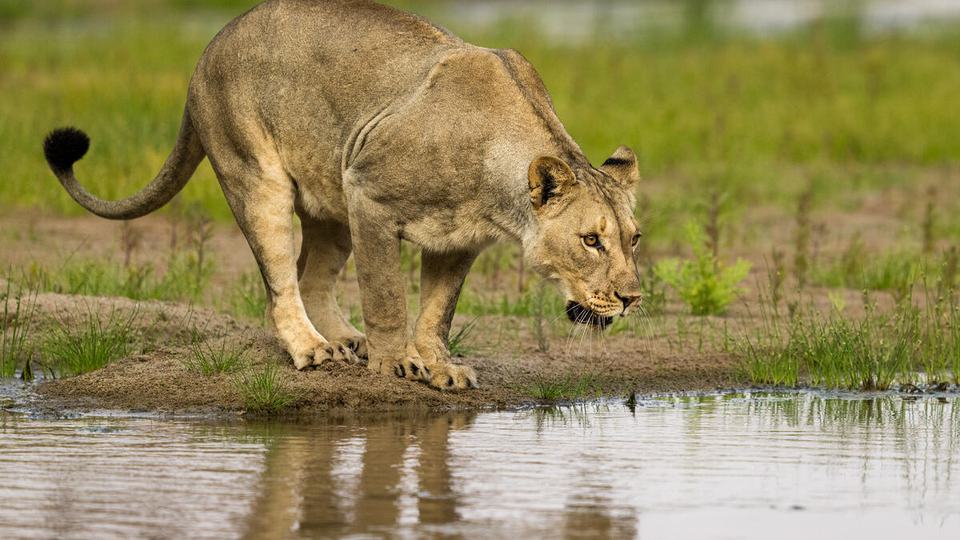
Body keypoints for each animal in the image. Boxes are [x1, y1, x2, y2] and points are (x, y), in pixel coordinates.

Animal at [42, 0, 643, 390]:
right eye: (591, 240)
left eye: (634, 239)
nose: (633, 298)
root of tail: (210, 47)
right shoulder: (370, 196)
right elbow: (386, 296)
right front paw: (397, 363)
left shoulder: (456, 241)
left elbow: (437, 311)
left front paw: (439, 366)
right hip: (260, 180)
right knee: (281, 284)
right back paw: (314, 350)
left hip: (330, 197)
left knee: (312, 277)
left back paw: (346, 341)